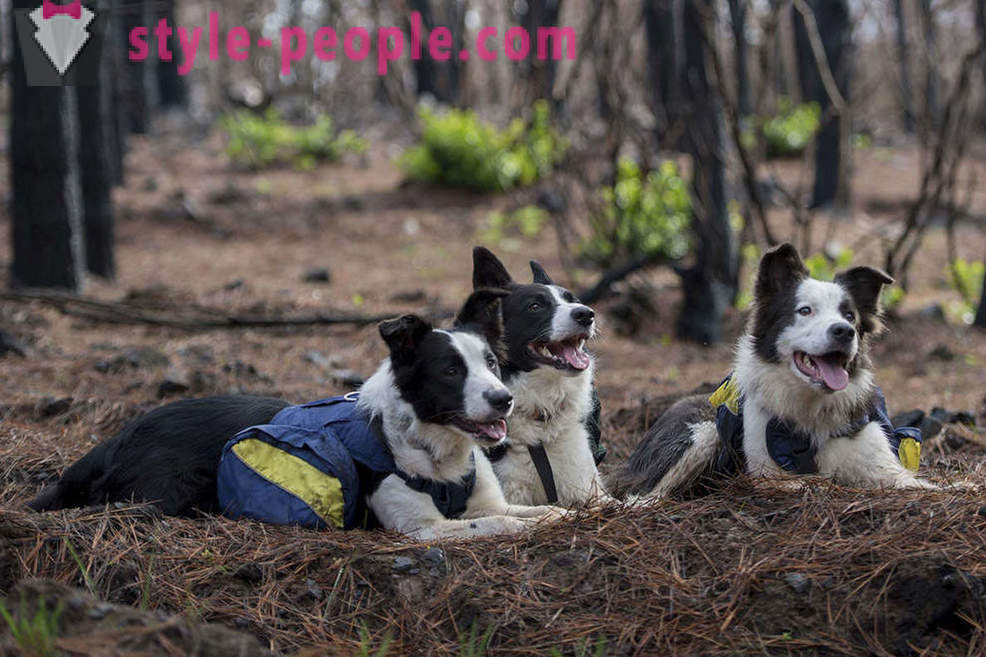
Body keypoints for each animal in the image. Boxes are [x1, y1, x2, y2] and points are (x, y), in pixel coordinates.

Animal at [30, 290, 560, 540]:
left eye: (491, 363)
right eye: (451, 370)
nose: (503, 400)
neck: (435, 451)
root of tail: (118, 437)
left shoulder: (488, 502)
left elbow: (546, 510)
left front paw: (573, 514)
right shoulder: (420, 530)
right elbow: (497, 526)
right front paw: (526, 531)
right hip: (171, 493)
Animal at [608, 242, 932, 498]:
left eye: (850, 315)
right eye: (805, 311)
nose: (844, 331)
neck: (812, 407)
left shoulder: (883, 466)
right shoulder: (769, 474)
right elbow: (803, 482)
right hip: (703, 431)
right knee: (640, 496)